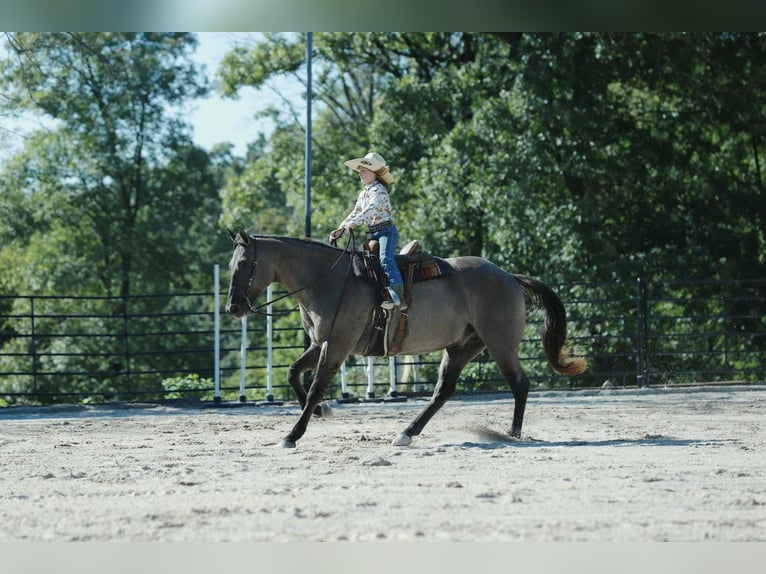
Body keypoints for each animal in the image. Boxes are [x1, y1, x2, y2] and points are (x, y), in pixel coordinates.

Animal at [225, 230, 587, 448]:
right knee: (443, 391)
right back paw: (407, 432)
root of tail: (509, 276)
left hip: (500, 344)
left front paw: (293, 434)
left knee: (519, 384)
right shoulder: (320, 344)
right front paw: (319, 413)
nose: (233, 307)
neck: (328, 279)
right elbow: (293, 373)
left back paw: (512, 434)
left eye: (243, 263)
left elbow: (315, 387)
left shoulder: (337, 346)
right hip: (461, 347)